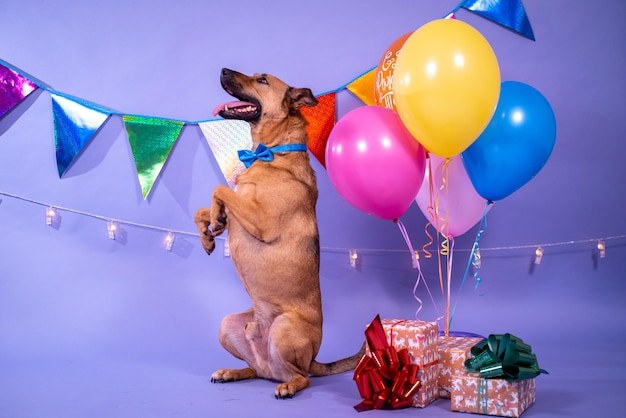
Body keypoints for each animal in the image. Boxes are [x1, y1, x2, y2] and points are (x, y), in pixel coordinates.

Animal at [193, 68, 364, 398]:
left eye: (262, 80)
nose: (223, 70)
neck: (270, 153)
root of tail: (313, 360)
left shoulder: (261, 220)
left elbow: (220, 189)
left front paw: (215, 217)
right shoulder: (241, 214)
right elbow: (204, 209)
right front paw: (210, 231)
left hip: (284, 327)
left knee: (301, 377)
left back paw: (289, 386)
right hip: (227, 325)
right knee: (257, 370)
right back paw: (232, 372)